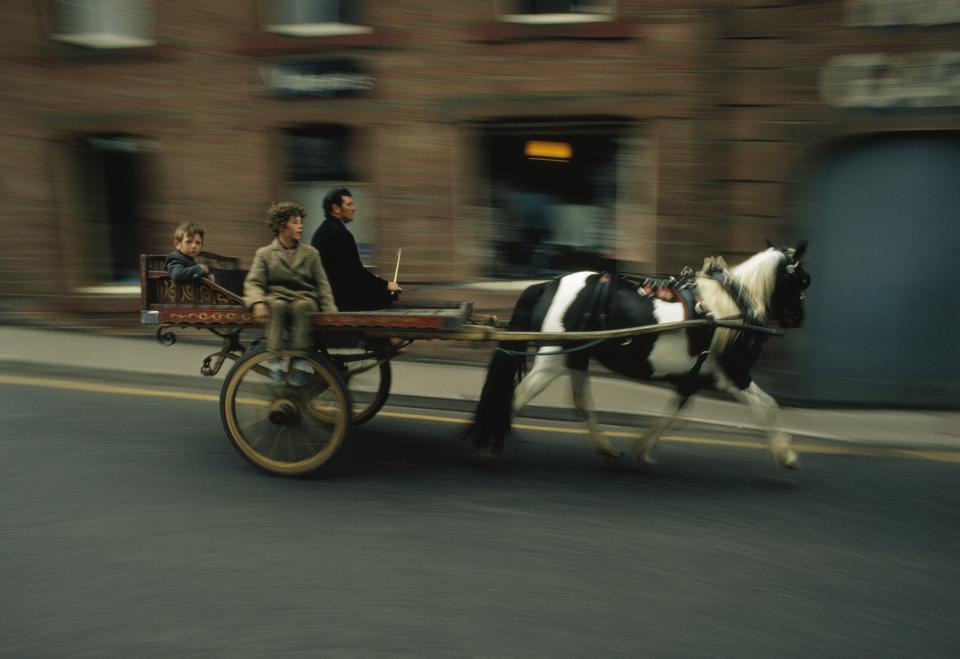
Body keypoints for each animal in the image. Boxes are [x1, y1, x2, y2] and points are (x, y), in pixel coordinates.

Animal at [466, 242, 808, 470]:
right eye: (804, 280)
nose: (799, 319)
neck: (732, 308)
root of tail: (549, 285)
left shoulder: (694, 377)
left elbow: (674, 414)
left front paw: (643, 448)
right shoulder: (733, 374)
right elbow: (768, 405)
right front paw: (786, 454)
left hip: (575, 358)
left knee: (581, 401)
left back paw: (605, 447)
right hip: (553, 360)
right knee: (516, 397)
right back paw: (486, 447)